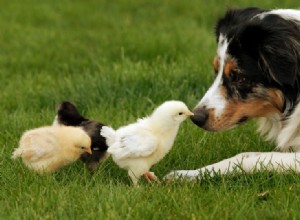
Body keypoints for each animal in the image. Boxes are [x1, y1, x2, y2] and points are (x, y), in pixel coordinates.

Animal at [165, 7, 300, 181]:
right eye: (216, 70)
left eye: (240, 77)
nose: (196, 118)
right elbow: (246, 155)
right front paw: (188, 174)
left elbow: (252, 158)